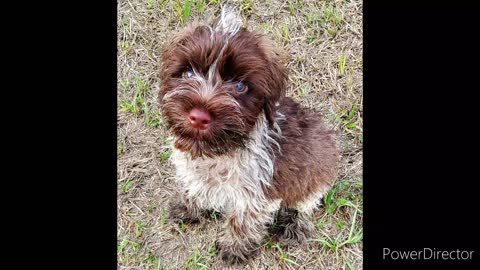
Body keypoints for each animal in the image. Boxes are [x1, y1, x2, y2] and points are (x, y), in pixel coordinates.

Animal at [158, 6, 338, 264]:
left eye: (240, 87)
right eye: (189, 73)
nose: (199, 117)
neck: (219, 153)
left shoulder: (256, 193)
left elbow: (242, 222)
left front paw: (234, 248)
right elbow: (194, 187)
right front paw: (189, 207)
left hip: (316, 174)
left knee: (305, 203)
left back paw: (295, 225)